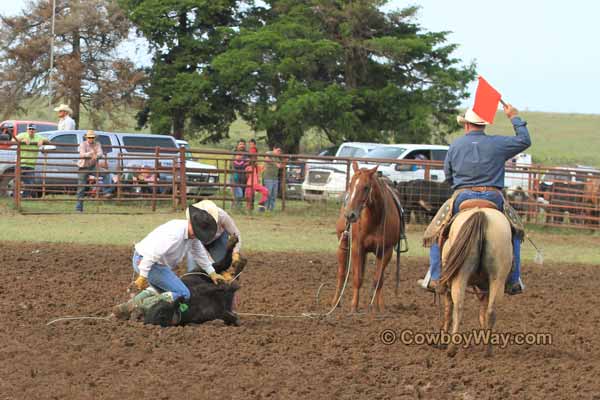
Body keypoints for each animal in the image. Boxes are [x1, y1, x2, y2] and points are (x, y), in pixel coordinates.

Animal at [440, 206, 510, 356]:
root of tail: (481, 214)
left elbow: (448, 310)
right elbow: (482, 313)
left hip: (459, 277)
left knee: (457, 307)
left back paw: (451, 348)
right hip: (496, 279)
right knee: (489, 311)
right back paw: (487, 350)